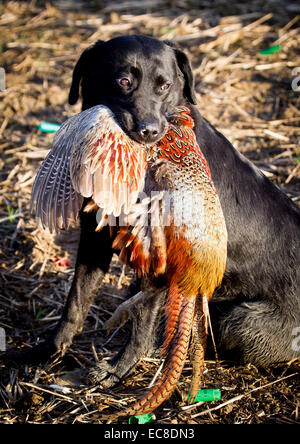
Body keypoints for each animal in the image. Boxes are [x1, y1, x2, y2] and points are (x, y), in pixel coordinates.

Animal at [5, 35, 300, 382]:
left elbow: (142, 322)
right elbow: (75, 301)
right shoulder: (94, 238)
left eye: (165, 85)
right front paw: (49, 350)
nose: (150, 131)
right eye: (123, 81)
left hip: (238, 321)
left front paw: (118, 369)